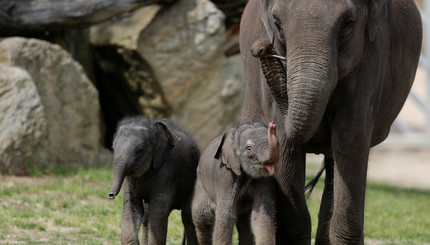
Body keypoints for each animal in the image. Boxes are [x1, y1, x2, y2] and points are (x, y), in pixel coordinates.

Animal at [108, 116, 201, 244]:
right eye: (113, 148)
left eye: (140, 150)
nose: (111, 195)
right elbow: (131, 206)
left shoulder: (168, 170)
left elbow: (157, 213)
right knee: (146, 216)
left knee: (187, 216)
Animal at [239, 0, 424, 244]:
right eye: (277, 23)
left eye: (348, 23)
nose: (261, 49)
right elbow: (285, 144)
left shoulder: (373, 54)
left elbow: (350, 138)